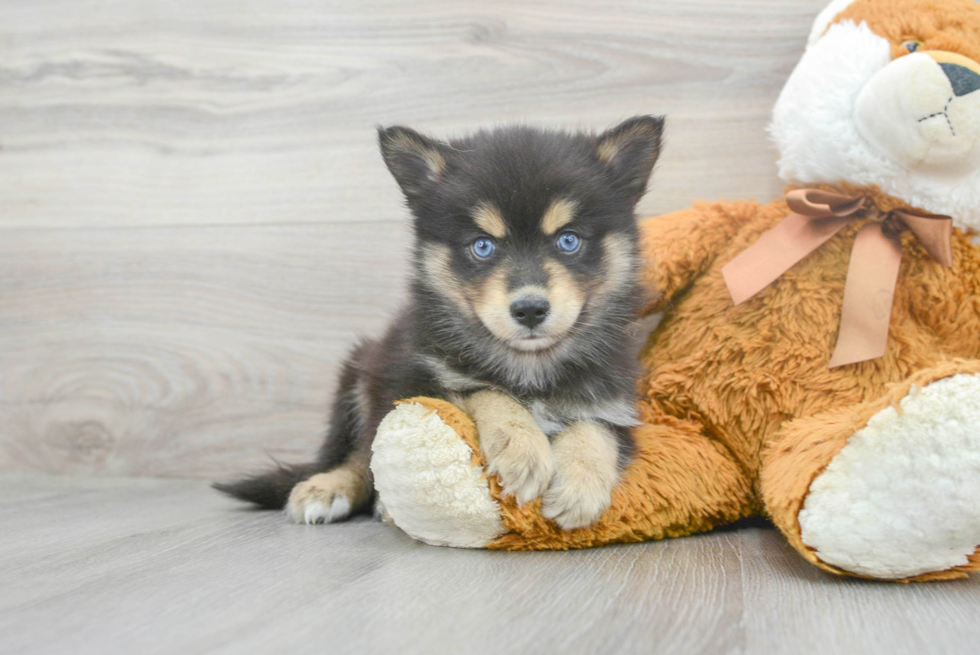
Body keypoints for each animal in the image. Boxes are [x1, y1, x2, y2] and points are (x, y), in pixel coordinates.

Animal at [216, 115, 668, 532]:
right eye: (482, 246)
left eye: (569, 240)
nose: (529, 309)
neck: (529, 365)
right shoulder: (415, 378)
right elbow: (482, 389)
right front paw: (521, 448)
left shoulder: (614, 399)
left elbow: (595, 429)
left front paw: (580, 485)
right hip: (363, 373)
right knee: (359, 454)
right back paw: (330, 490)